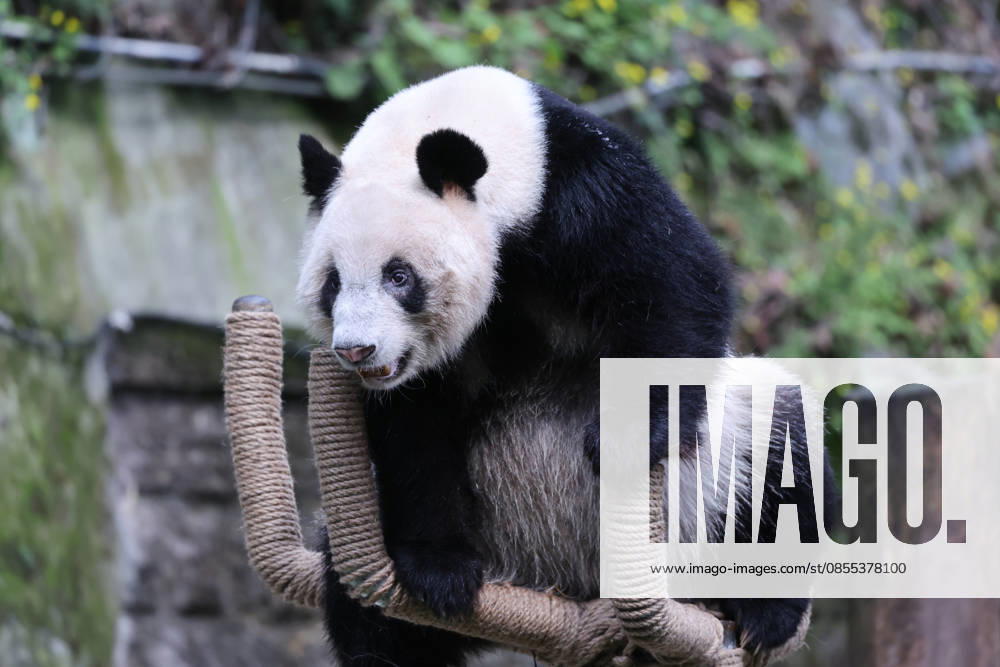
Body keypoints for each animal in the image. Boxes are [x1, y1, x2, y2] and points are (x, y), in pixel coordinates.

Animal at [295, 66, 820, 665]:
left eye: (398, 276)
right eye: (333, 282)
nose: (356, 350)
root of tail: (567, 582)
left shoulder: (586, 194)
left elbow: (676, 289)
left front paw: (623, 440)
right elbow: (416, 429)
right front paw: (440, 569)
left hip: (717, 482)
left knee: (780, 453)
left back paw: (765, 610)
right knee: (357, 595)